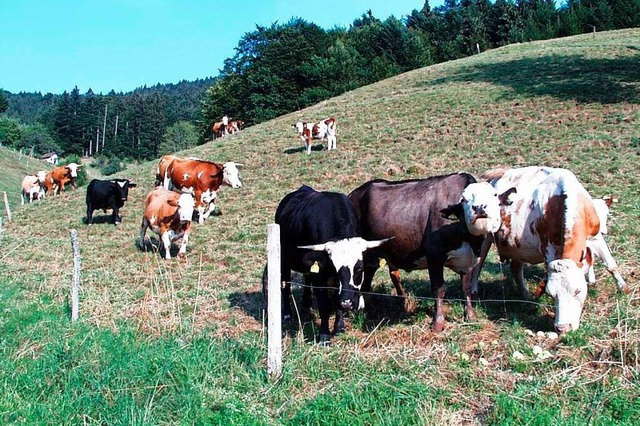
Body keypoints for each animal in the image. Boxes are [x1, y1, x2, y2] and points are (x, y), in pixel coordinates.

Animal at [272, 186, 390, 342]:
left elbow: (336, 300)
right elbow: (324, 304)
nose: (347, 302)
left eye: (359, 269)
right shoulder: (320, 276)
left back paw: (306, 302)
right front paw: (324, 335)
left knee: (306, 278)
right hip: (284, 260)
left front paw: (339, 327)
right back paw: (286, 313)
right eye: (334, 268)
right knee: (285, 284)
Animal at [350, 173, 510, 332]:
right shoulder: (434, 255)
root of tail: (355, 193)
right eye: (464, 199)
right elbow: (439, 289)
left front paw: (470, 316)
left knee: (386, 272)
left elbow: (466, 288)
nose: (479, 208)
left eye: (494, 195)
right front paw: (438, 323)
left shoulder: (469, 258)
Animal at [470, 166, 624, 332]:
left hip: (518, 247)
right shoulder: (548, 246)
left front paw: (623, 288)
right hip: (485, 236)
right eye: (551, 294)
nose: (563, 327)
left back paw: (525, 295)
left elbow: (610, 264)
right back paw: (474, 292)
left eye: (577, 291)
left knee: (515, 268)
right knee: (478, 264)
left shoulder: (595, 235)